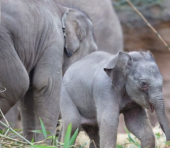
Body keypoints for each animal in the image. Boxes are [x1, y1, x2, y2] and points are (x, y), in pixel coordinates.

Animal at [0, 0, 96, 141]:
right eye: (93, 51)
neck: (62, 9)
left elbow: (30, 94)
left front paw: (31, 142)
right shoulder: (54, 41)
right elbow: (47, 84)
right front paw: (44, 142)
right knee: (17, 84)